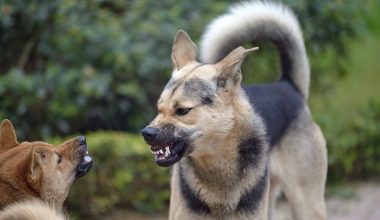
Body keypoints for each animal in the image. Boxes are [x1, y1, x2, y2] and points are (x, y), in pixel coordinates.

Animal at [142, 0, 326, 219]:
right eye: (158, 108)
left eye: (183, 111)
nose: (146, 133)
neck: (217, 163)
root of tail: (288, 86)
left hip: (306, 203)